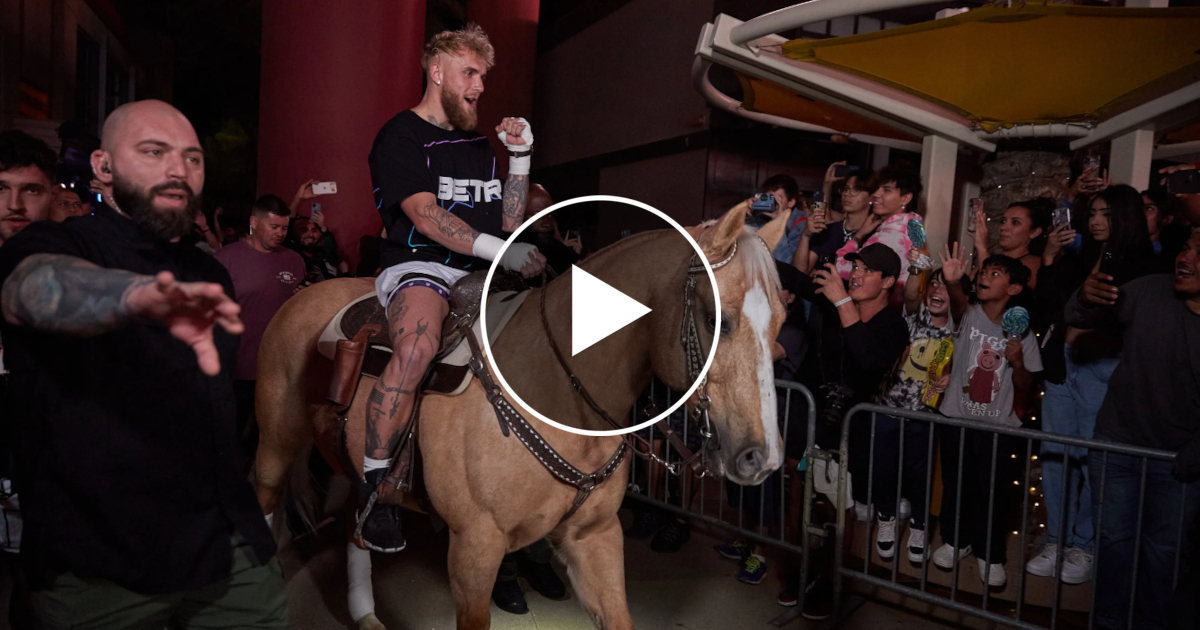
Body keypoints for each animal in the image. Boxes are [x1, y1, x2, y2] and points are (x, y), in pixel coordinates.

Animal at [255, 204, 787, 624]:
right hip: (276, 445)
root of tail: (306, 292)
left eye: (781, 322)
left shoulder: (595, 539)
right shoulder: (474, 552)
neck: (558, 392)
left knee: (357, 520)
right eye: (717, 318)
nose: (761, 458)